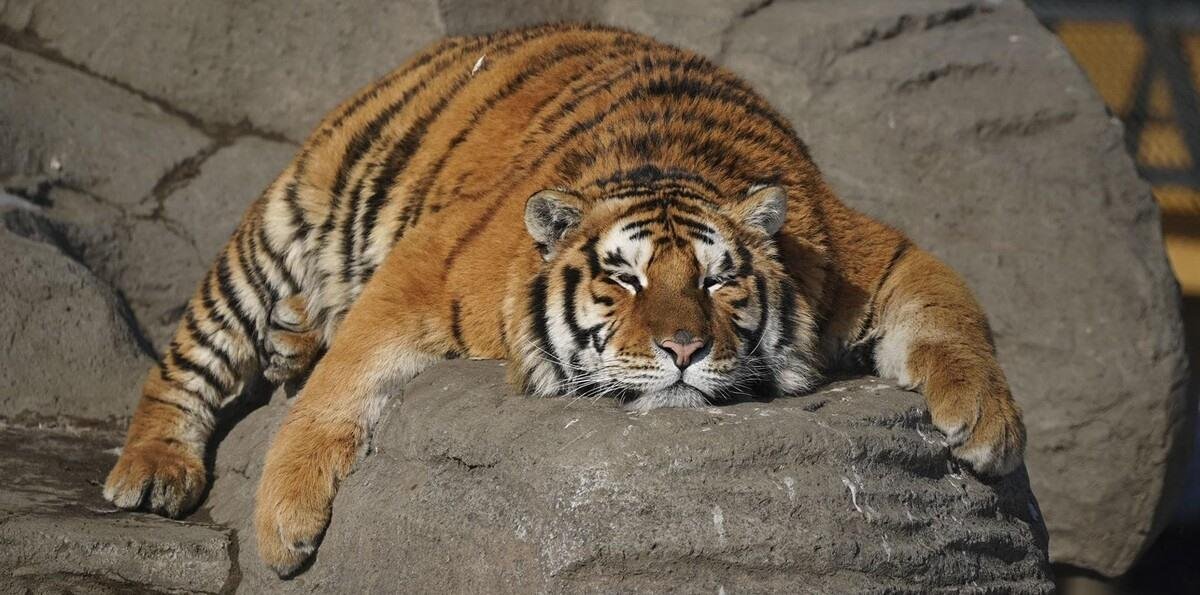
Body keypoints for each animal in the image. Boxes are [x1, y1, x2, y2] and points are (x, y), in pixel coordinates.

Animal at [102, 23, 1025, 576]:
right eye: (624, 279)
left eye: (718, 279)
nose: (684, 348)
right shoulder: (427, 266)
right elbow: (344, 380)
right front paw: (284, 520)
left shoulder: (872, 253)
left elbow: (953, 316)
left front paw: (989, 425)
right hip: (285, 220)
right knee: (191, 355)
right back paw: (152, 471)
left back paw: (293, 339)